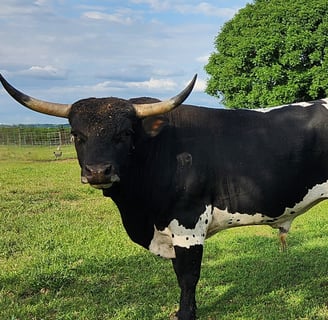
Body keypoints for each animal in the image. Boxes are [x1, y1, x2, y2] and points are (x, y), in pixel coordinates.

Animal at [0, 73, 328, 320]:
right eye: (77, 135)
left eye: (125, 134)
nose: (98, 171)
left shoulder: (188, 223)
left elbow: (187, 276)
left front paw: (186, 314)